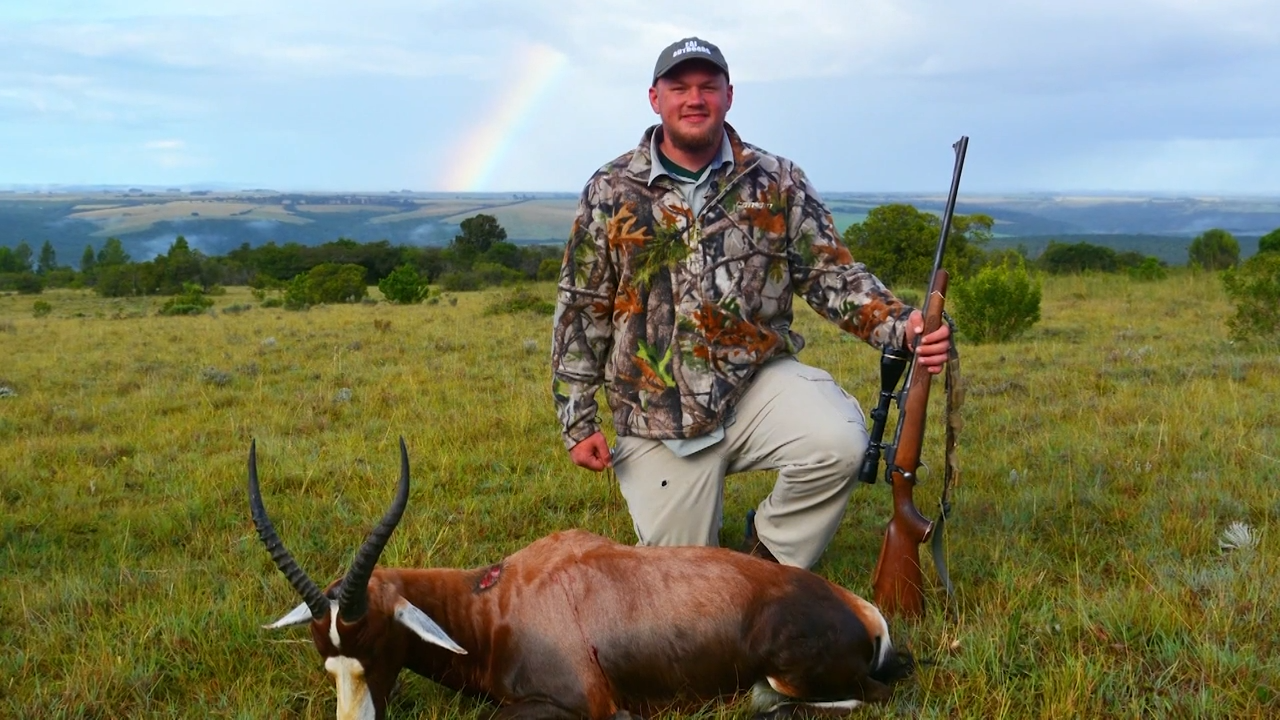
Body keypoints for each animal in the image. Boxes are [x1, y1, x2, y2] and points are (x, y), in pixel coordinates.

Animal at [248, 439, 912, 720]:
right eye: (327, 658)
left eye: (378, 643)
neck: (498, 603)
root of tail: (863, 612)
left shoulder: (583, 706)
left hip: (791, 675)